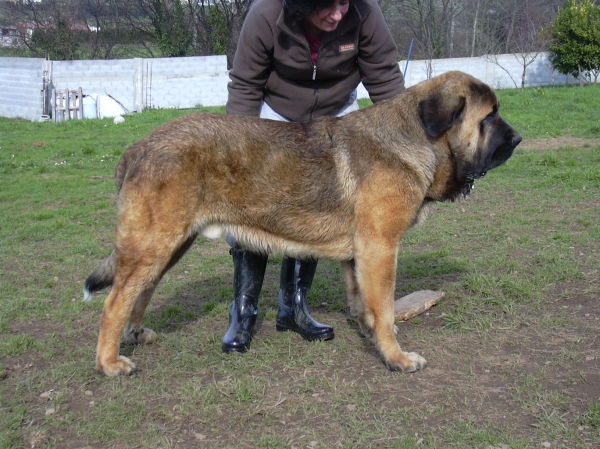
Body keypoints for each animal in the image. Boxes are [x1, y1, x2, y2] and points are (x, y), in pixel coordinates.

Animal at [83, 72, 520, 376]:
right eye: (490, 117)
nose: (517, 140)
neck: (415, 140)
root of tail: (138, 147)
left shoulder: (359, 255)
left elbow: (365, 303)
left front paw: (369, 335)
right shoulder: (380, 248)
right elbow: (386, 311)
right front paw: (396, 357)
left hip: (168, 246)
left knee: (139, 292)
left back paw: (135, 335)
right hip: (154, 245)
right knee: (113, 303)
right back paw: (109, 364)